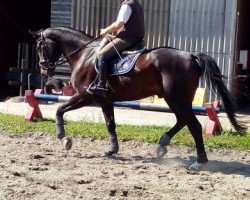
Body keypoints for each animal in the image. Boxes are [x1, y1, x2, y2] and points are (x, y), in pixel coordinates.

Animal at [29, 26, 246, 170]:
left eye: (40, 47)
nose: (44, 69)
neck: (85, 54)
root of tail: (190, 55)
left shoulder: (84, 96)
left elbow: (59, 110)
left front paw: (63, 138)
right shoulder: (105, 101)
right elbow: (110, 124)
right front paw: (112, 150)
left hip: (179, 99)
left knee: (193, 125)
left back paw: (199, 162)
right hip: (172, 99)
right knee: (182, 120)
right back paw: (162, 144)